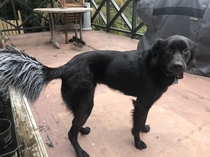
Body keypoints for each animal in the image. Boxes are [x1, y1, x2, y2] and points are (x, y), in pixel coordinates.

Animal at [0, 35, 196, 157]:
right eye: (168, 51)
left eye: (185, 51)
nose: (178, 66)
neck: (156, 65)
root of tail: (66, 66)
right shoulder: (141, 103)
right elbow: (136, 124)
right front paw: (138, 143)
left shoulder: (146, 103)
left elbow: (142, 120)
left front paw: (143, 129)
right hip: (87, 102)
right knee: (71, 132)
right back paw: (80, 152)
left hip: (81, 102)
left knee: (75, 123)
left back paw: (83, 130)